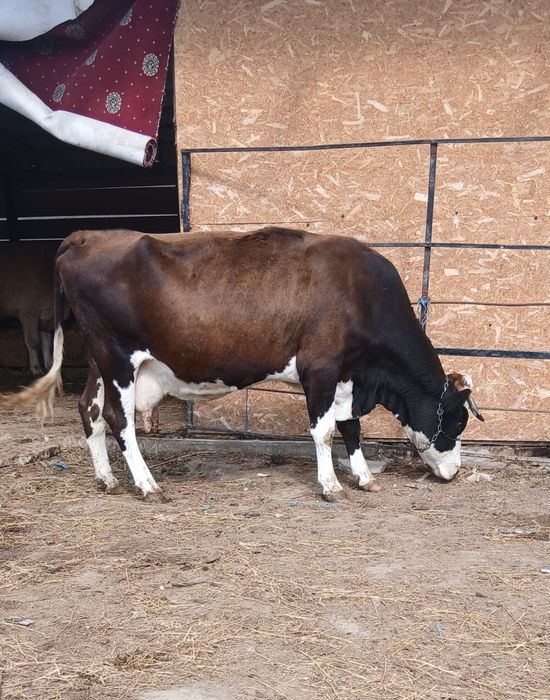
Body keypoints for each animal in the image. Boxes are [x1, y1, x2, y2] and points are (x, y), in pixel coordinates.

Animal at [10, 227, 484, 501]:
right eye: (457, 422)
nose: (455, 472)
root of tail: (86, 235)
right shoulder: (322, 367)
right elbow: (326, 430)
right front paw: (330, 485)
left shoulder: (348, 376)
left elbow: (351, 427)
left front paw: (364, 477)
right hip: (117, 356)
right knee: (116, 417)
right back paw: (146, 484)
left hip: (98, 361)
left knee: (88, 410)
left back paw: (106, 479)